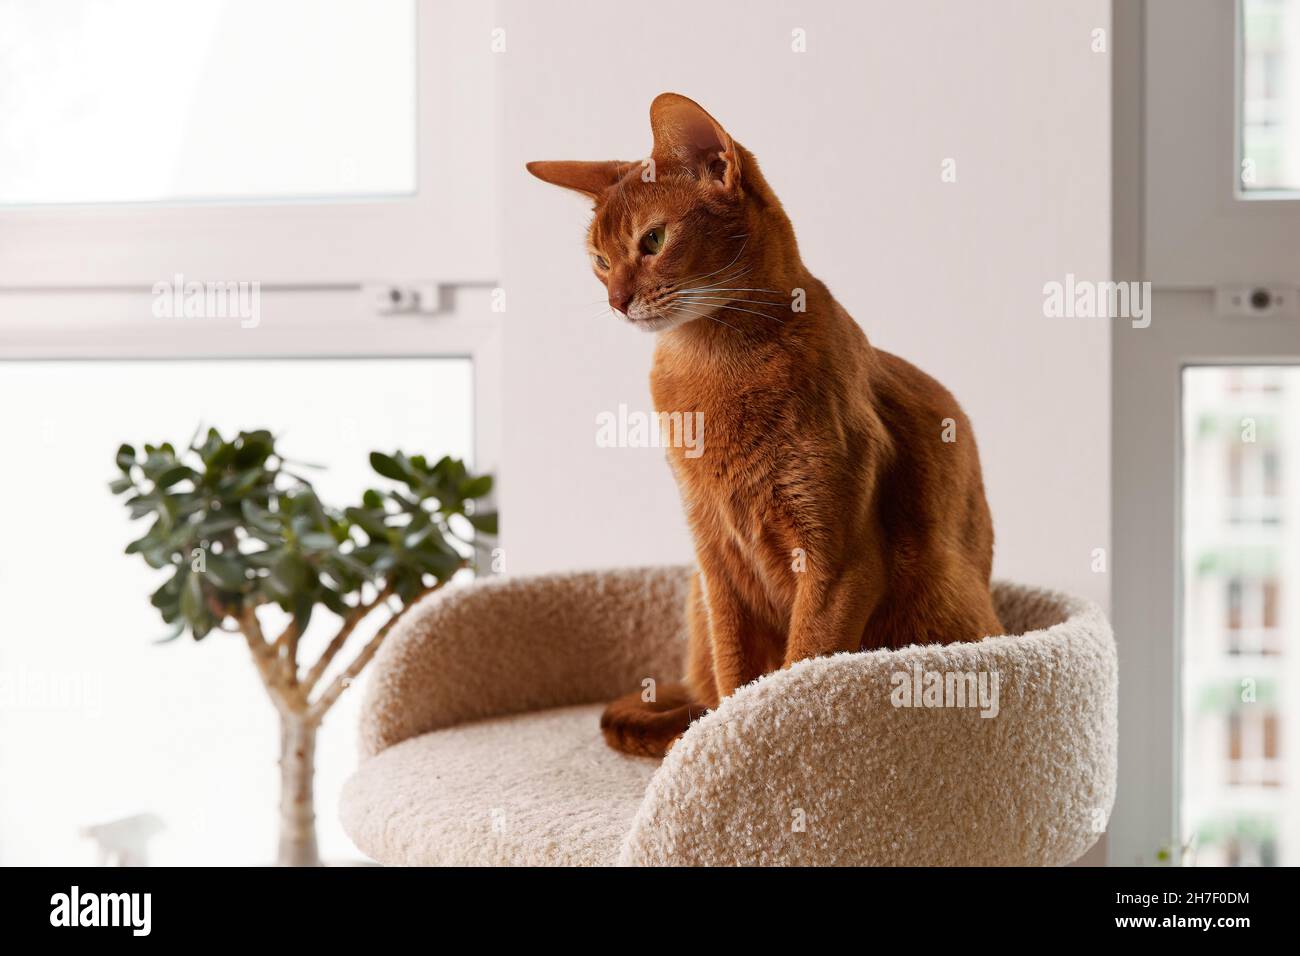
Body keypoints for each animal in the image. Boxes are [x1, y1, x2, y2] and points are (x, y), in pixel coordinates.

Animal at [522, 93, 998, 759]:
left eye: (653, 239)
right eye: (598, 260)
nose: (617, 300)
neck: (711, 361)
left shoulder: (837, 559)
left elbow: (799, 668)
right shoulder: (715, 558)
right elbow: (733, 673)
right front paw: (718, 746)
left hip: (943, 598)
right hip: (696, 598)